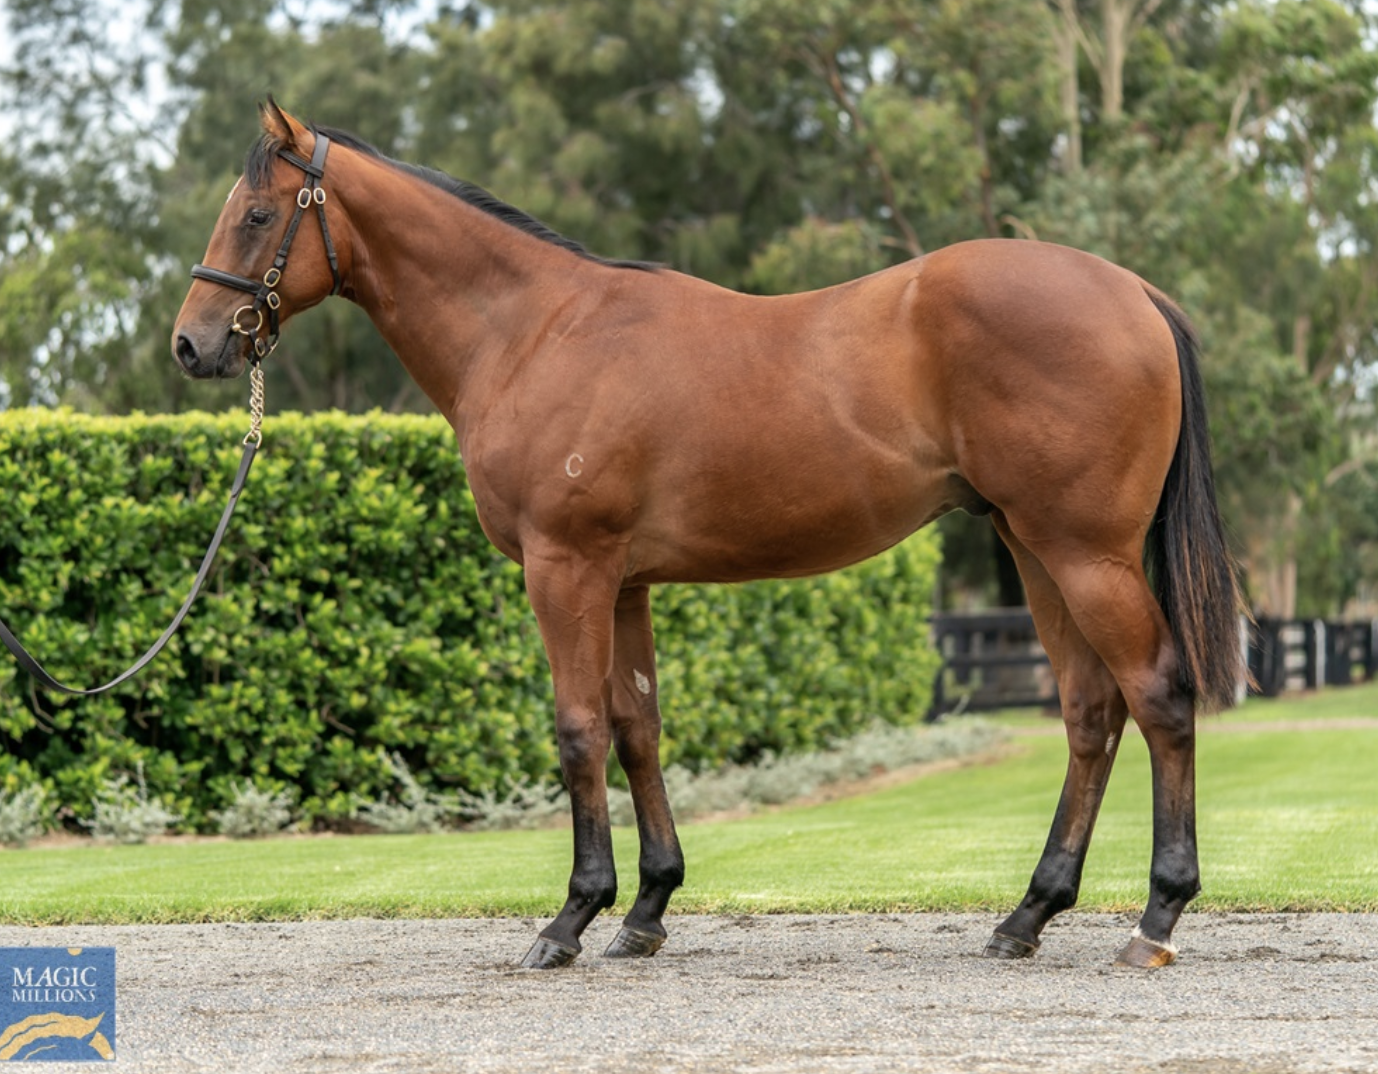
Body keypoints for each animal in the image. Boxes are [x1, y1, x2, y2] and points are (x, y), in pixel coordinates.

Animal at [175, 104, 1251, 970]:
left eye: (259, 214)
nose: (194, 344)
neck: (535, 331)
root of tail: (1133, 294)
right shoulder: (623, 582)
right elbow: (637, 729)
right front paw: (645, 910)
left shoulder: (564, 569)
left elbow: (577, 730)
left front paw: (569, 920)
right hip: (1035, 552)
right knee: (1088, 712)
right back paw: (1028, 915)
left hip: (1085, 554)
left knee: (1157, 697)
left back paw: (1155, 919)